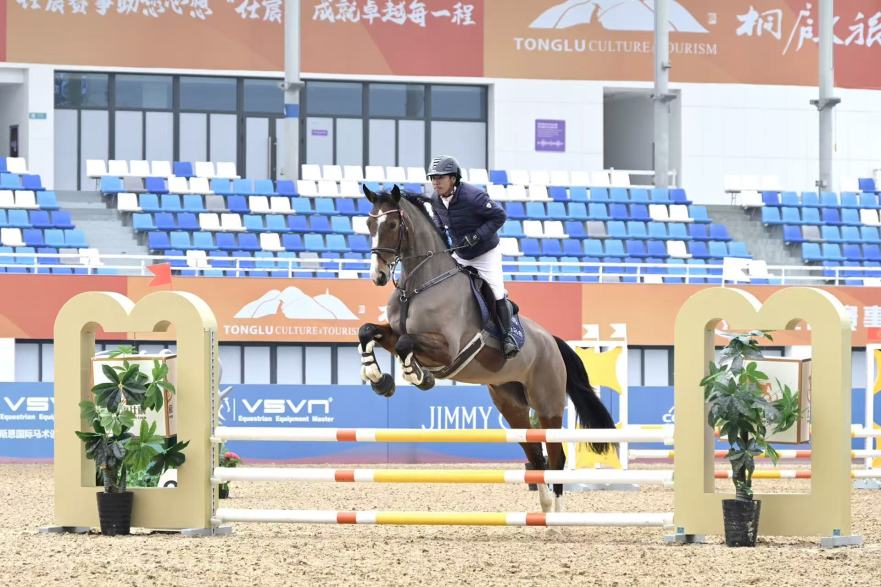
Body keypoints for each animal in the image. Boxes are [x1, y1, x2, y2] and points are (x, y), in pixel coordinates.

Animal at [357, 185, 616, 514]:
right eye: (369, 223)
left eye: (391, 224)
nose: (377, 276)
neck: (419, 286)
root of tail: (552, 342)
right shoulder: (394, 333)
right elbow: (367, 331)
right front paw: (379, 379)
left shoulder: (446, 348)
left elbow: (406, 345)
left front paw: (418, 376)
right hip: (512, 406)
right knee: (535, 454)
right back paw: (545, 507)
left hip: (548, 405)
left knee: (556, 456)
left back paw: (557, 512)